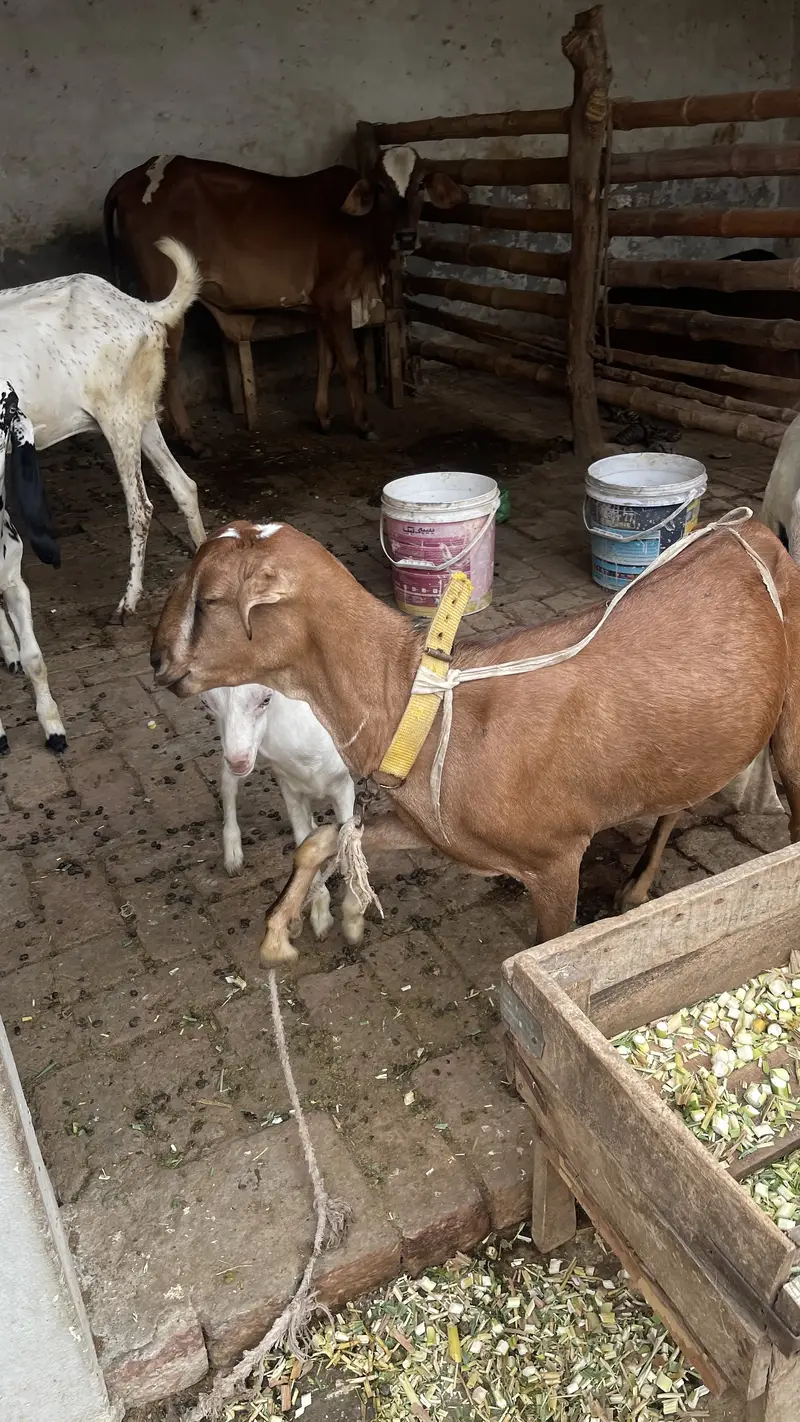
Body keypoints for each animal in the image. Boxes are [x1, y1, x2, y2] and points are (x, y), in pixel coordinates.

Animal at [0, 238, 206, 620]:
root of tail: (141, 309)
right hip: (140, 415)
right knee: (183, 485)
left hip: (117, 419)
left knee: (141, 508)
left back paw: (129, 601)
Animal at [201, 682, 364, 944]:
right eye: (206, 703)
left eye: (266, 699)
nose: (239, 762)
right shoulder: (289, 787)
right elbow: (303, 844)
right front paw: (321, 917)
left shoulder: (342, 784)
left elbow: (349, 849)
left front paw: (353, 924)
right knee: (227, 781)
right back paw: (233, 853)